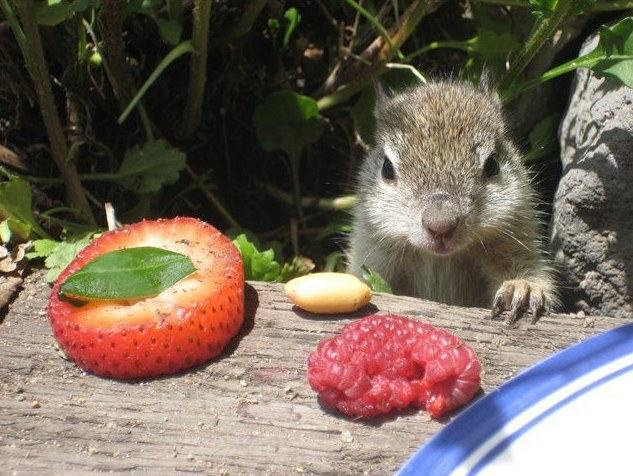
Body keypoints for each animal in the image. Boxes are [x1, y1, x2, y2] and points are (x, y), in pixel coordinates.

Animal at [348, 80, 556, 324]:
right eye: (387, 169)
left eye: (493, 164)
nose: (441, 226)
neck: (440, 260)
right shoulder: (372, 253)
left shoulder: (516, 240)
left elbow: (531, 268)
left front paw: (522, 288)